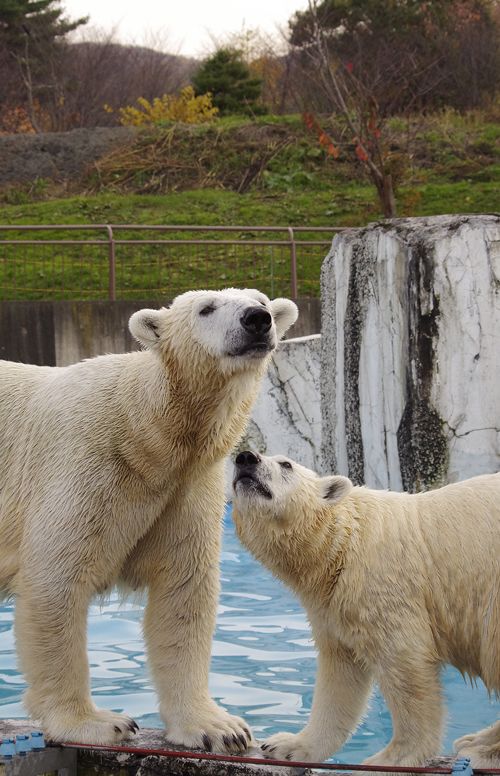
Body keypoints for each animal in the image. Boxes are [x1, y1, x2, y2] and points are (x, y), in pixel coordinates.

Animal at [0, 288, 296, 748]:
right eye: (206, 308)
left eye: (262, 300)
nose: (256, 320)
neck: (147, 433)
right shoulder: (86, 464)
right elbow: (56, 579)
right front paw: (95, 722)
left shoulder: (186, 487)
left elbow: (183, 591)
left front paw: (217, 728)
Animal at [232, 452, 500, 768]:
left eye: (286, 464)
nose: (245, 458)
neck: (342, 541)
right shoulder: (332, 605)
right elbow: (341, 675)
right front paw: (287, 744)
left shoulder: (382, 581)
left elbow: (403, 662)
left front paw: (389, 758)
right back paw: (476, 740)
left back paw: (481, 748)